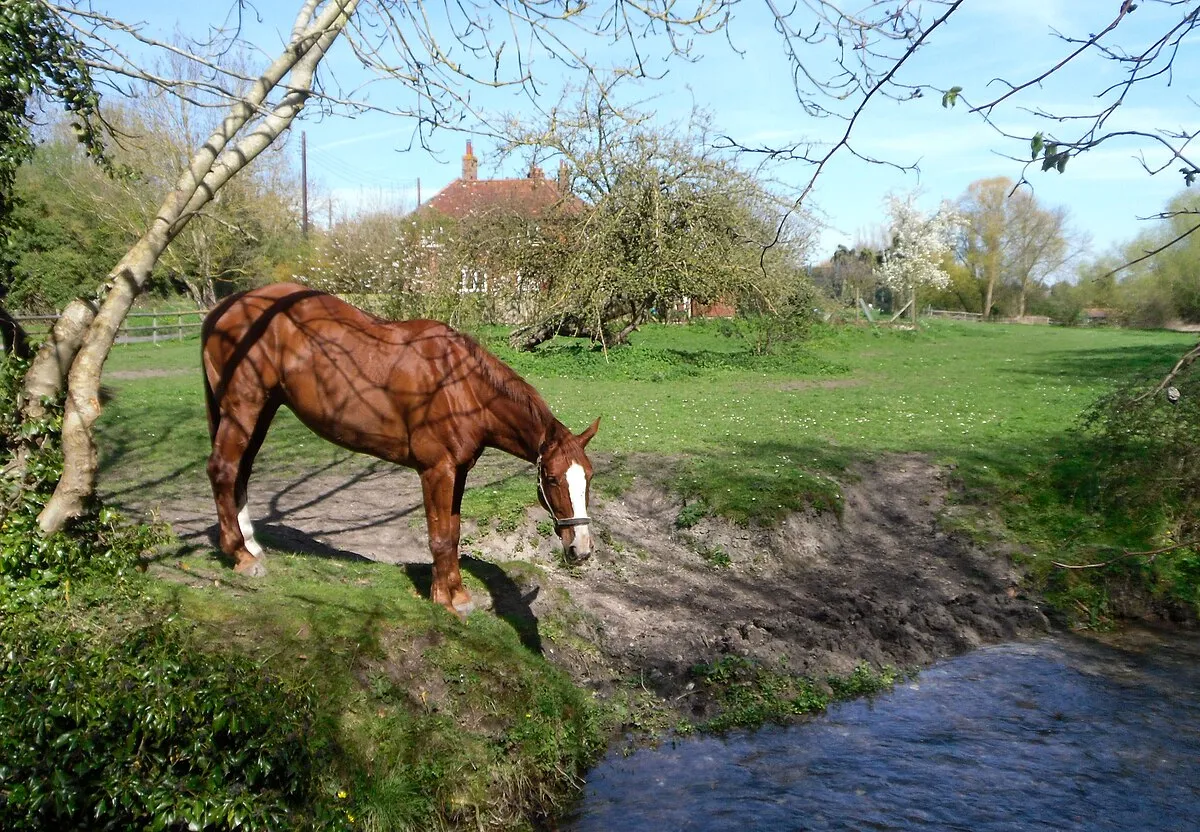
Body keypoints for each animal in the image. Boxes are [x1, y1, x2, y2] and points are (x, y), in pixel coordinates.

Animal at [201, 282, 600, 616]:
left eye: (589, 479)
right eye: (551, 479)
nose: (580, 550)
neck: (460, 386)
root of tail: (227, 307)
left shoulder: (457, 471)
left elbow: (453, 532)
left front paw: (458, 595)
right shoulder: (436, 471)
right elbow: (440, 536)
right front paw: (445, 601)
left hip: (263, 409)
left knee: (240, 473)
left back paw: (252, 546)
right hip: (243, 408)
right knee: (223, 469)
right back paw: (241, 556)